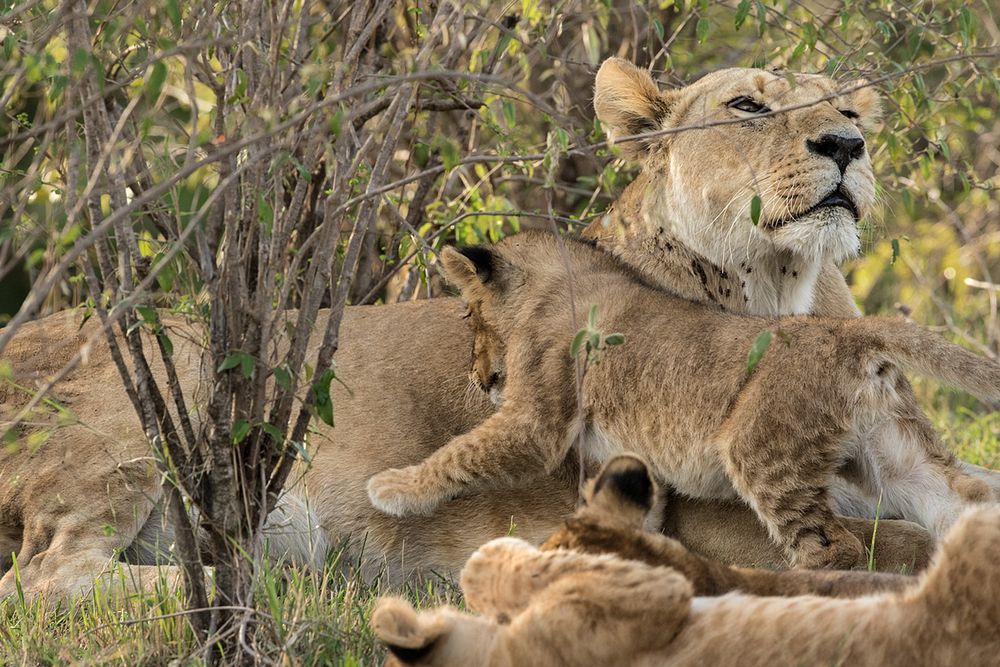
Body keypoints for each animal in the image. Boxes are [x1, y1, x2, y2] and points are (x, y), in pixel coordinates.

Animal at [368, 234, 1000, 568]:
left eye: (468, 315)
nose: (480, 380)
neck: (558, 283)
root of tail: (853, 332)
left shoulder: (537, 421)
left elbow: (461, 452)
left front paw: (393, 488)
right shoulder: (624, 450)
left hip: (761, 450)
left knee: (832, 549)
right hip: (897, 459)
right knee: (962, 503)